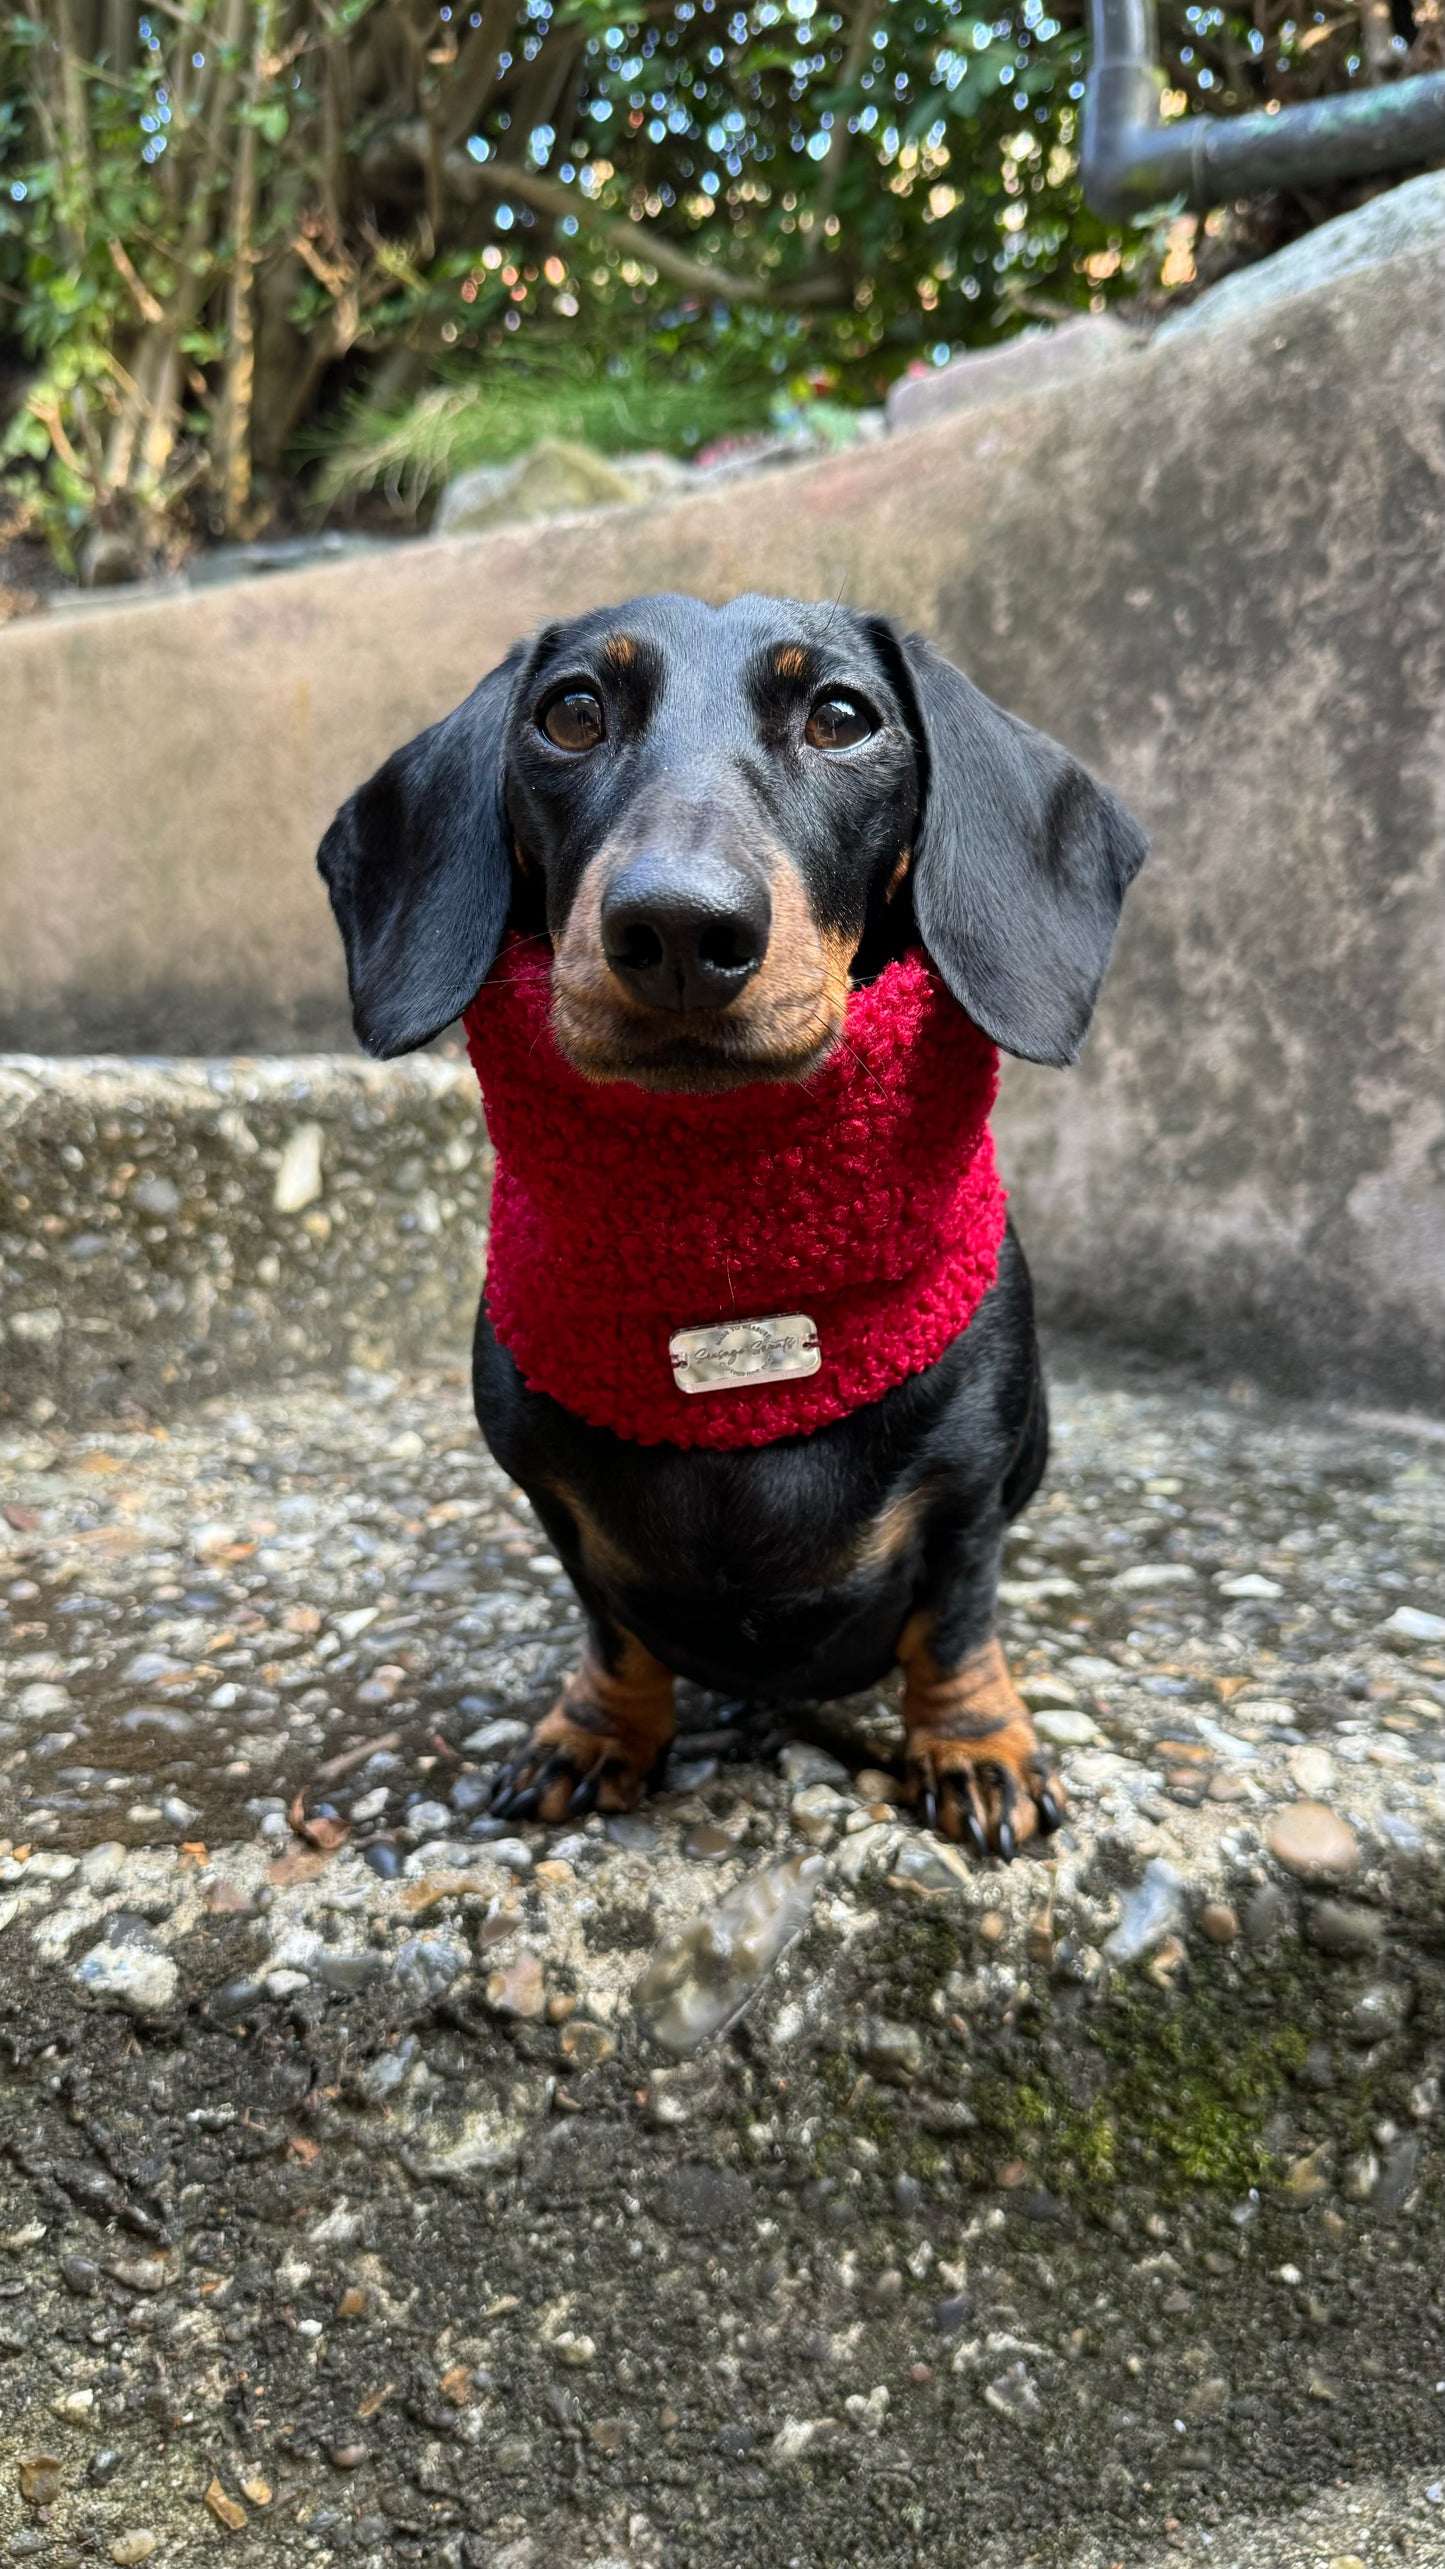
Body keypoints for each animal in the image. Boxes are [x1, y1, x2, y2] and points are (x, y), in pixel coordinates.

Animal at [317, 590, 1146, 1859]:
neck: (731, 1280)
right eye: (569, 712)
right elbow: (614, 1630)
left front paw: (973, 1746)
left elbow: (953, 1623)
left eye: (841, 717)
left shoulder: (964, 1499)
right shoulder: (560, 1510)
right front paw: (597, 1730)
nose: (673, 931)